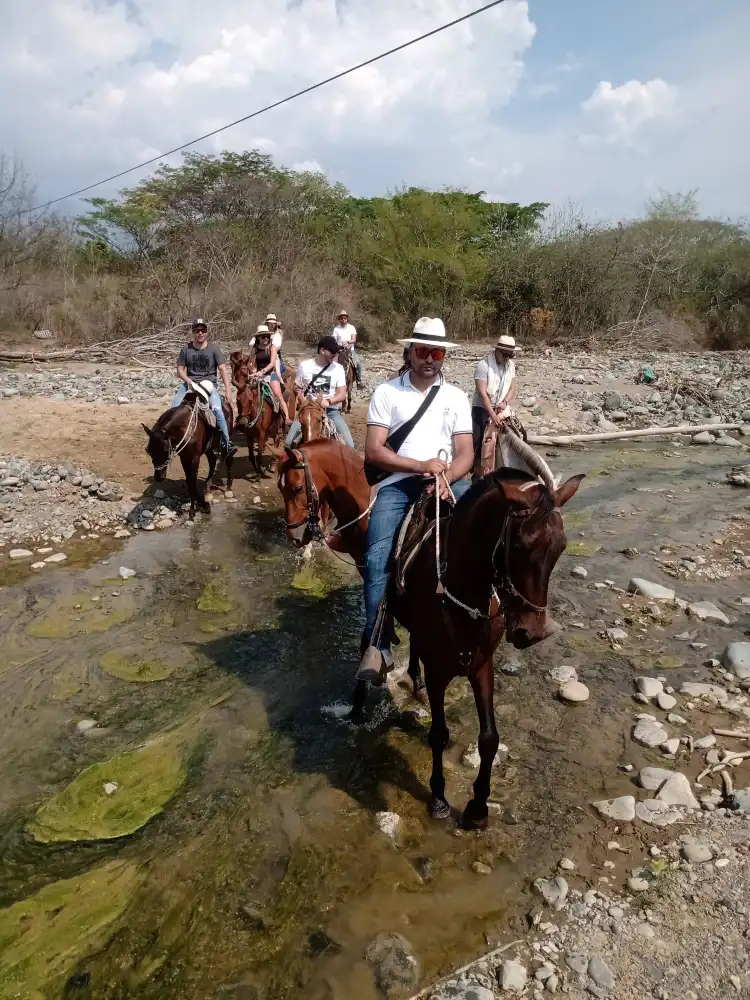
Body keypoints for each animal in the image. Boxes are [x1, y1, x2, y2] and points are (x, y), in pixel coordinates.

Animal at [142, 392, 234, 520]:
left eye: (165, 449)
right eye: (148, 451)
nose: (158, 478)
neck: (185, 427)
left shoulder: (194, 457)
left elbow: (192, 480)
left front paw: (193, 510)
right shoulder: (184, 458)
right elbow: (189, 480)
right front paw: (203, 505)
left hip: (224, 440)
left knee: (228, 459)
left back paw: (229, 488)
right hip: (209, 447)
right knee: (212, 461)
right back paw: (208, 490)